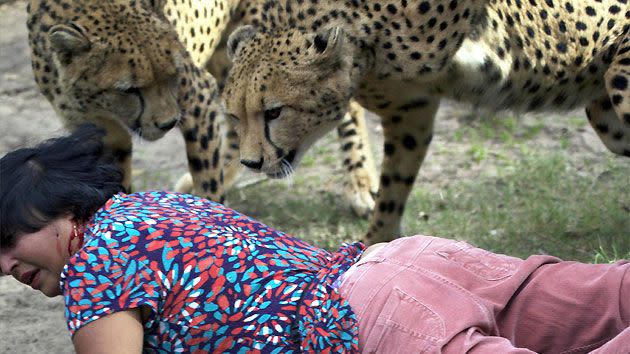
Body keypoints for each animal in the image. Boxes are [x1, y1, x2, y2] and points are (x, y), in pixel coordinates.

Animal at [222, 0, 630, 243]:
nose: (250, 162)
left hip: (619, 81)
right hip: (605, 116)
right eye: (234, 115)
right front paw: (375, 245)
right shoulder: (411, 109)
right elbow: (393, 189)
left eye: (274, 111)